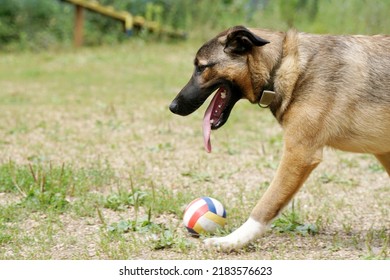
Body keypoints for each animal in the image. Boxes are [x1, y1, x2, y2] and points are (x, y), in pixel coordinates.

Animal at [170, 25, 390, 250]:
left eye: (201, 67)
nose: (172, 106)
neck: (282, 64)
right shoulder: (383, 152)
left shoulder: (299, 155)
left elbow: (265, 205)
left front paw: (231, 240)